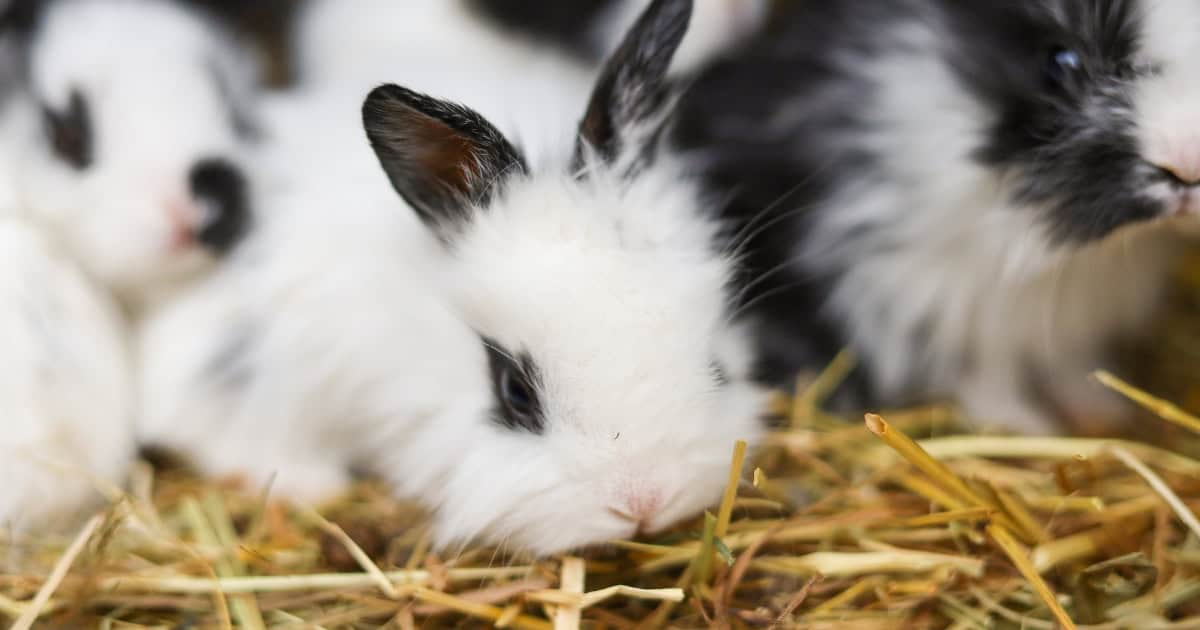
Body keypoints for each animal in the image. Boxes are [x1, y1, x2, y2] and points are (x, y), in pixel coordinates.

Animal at [671, 0, 1200, 435]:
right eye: (1060, 62)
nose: (1185, 163)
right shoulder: (938, 300)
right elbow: (986, 375)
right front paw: (1026, 428)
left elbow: (1073, 363)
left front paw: (1102, 414)